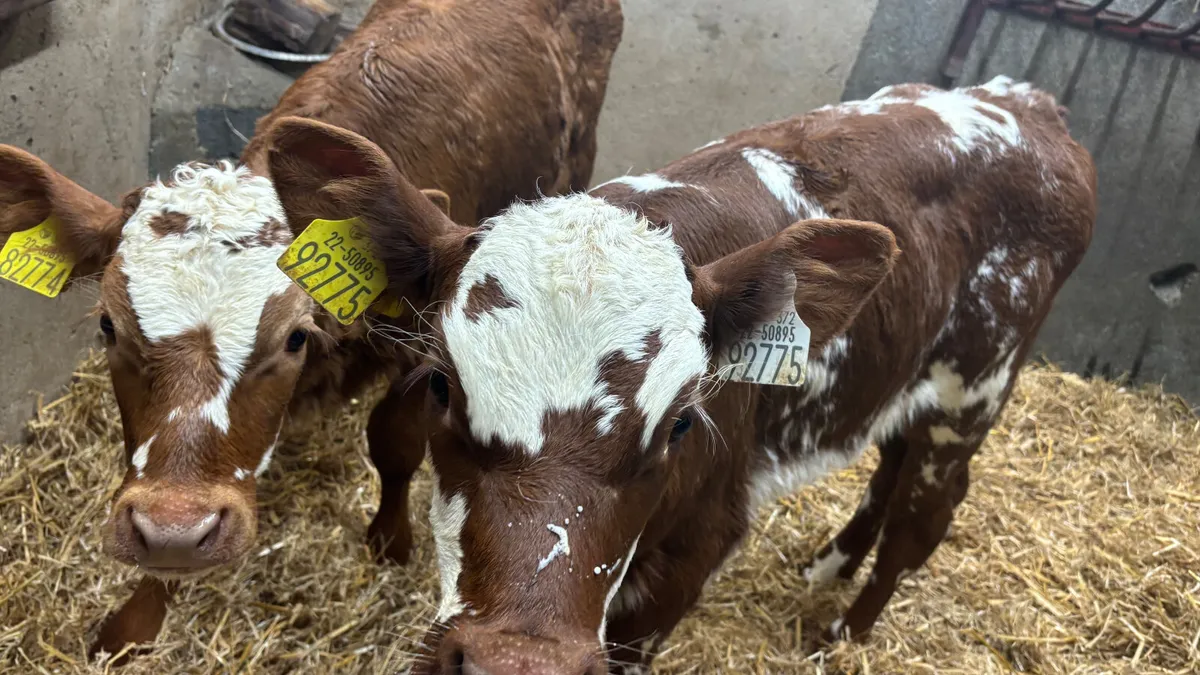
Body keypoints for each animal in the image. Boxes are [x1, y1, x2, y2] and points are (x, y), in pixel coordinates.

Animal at [0, 0, 622, 658]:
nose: (176, 529)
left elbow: (393, 440)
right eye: (108, 326)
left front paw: (389, 538)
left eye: (293, 337)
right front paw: (136, 620)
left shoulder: (424, 346)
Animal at [276, 75, 1096, 673]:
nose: (517, 662)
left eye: (680, 423)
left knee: (924, 510)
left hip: (973, 391)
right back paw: (828, 566)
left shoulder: (699, 542)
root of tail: (1028, 101)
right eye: (445, 384)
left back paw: (842, 630)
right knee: (889, 468)